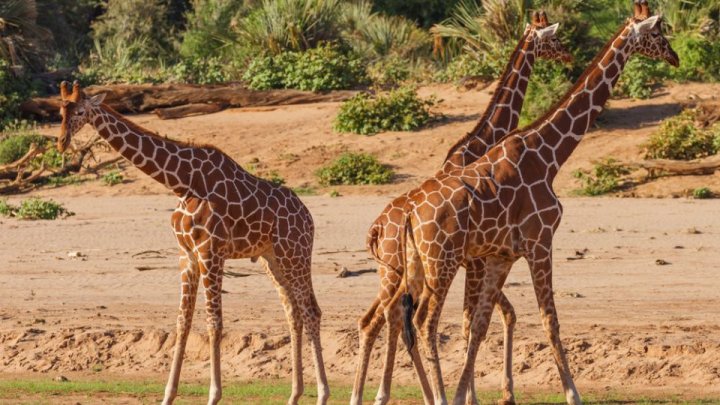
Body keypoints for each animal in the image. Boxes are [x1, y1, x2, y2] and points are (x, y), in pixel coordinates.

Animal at [56, 81, 330, 405]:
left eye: (80, 112)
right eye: (61, 111)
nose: (61, 143)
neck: (182, 182)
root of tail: (308, 217)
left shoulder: (211, 252)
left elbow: (214, 322)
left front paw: (213, 395)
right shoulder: (186, 255)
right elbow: (182, 321)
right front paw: (168, 395)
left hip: (295, 253)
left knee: (311, 311)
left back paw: (323, 393)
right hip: (272, 259)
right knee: (293, 312)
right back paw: (294, 394)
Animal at [352, 11, 573, 405]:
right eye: (553, 38)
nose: (569, 56)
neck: (482, 141)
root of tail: (376, 230)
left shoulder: (478, 258)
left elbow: (494, 316)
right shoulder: (478, 258)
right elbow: (479, 319)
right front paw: (479, 394)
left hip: (393, 272)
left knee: (384, 318)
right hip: (402, 271)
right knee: (388, 319)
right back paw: (380, 394)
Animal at [380, 1, 678, 404]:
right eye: (658, 33)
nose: (675, 57)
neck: (549, 154)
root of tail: (407, 215)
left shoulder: (500, 256)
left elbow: (479, 325)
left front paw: (471, 394)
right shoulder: (539, 243)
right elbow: (549, 320)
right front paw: (572, 394)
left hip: (420, 266)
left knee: (399, 319)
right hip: (440, 263)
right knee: (422, 322)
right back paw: (432, 396)